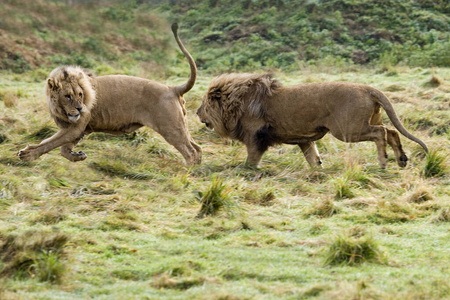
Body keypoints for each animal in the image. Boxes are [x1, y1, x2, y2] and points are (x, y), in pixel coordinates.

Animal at [17, 23, 200, 166]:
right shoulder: (81, 128)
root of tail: (172, 88)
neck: (60, 108)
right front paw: (78, 156)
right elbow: (63, 149)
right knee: (197, 148)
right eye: (68, 96)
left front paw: (27, 154)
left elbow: (49, 142)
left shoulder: (75, 127)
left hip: (170, 127)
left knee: (190, 151)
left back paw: (188, 172)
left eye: (80, 94)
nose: (80, 109)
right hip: (180, 125)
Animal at [197, 73, 428, 169]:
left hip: (347, 130)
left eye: (204, 104)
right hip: (364, 122)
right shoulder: (304, 139)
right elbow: (313, 157)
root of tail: (368, 88)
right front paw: (318, 169)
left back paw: (383, 162)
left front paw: (247, 170)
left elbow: (251, 160)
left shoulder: (256, 136)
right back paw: (401, 159)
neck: (236, 104)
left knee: (381, 132)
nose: (197, 114)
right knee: (392, 131)